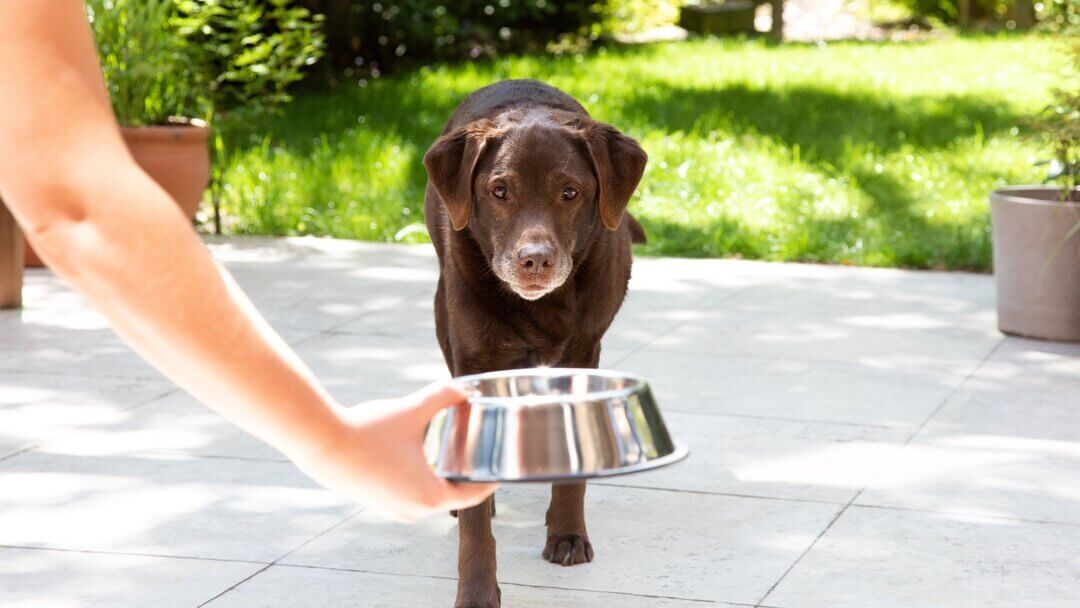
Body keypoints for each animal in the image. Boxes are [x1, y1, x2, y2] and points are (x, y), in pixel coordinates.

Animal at [419, 78, 639, 604]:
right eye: (499, 190)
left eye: (569, 192)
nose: (534, 260)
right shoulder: (472, 360)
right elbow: (476, 525)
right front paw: (477, 590)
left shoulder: (585, 352)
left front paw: (567, 533)